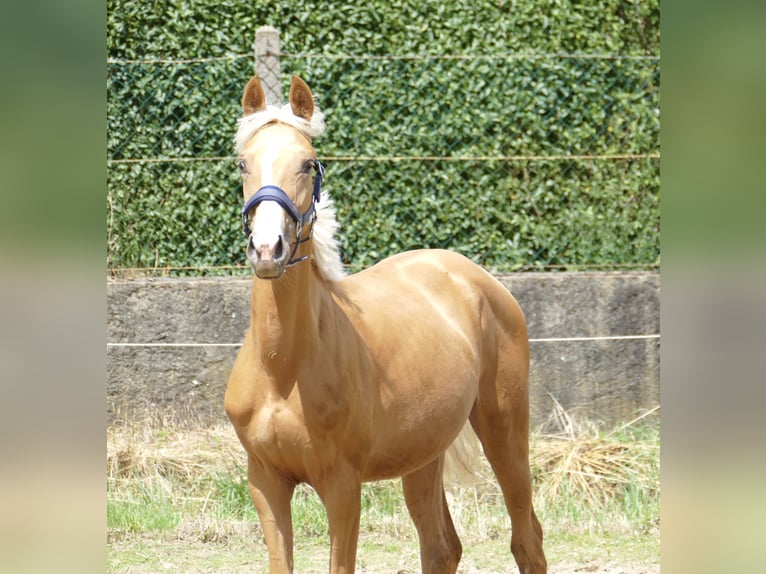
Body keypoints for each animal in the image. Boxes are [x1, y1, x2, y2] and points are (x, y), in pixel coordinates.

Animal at [225, 76, 548, 574]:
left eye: (308, 163)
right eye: (244, 163)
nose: (267, 249)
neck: (281, 369)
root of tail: (478, 279)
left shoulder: (342, 486)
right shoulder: (265, 481)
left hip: (505, 428)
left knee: (526, 540)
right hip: (424, 452)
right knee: (442, 547)